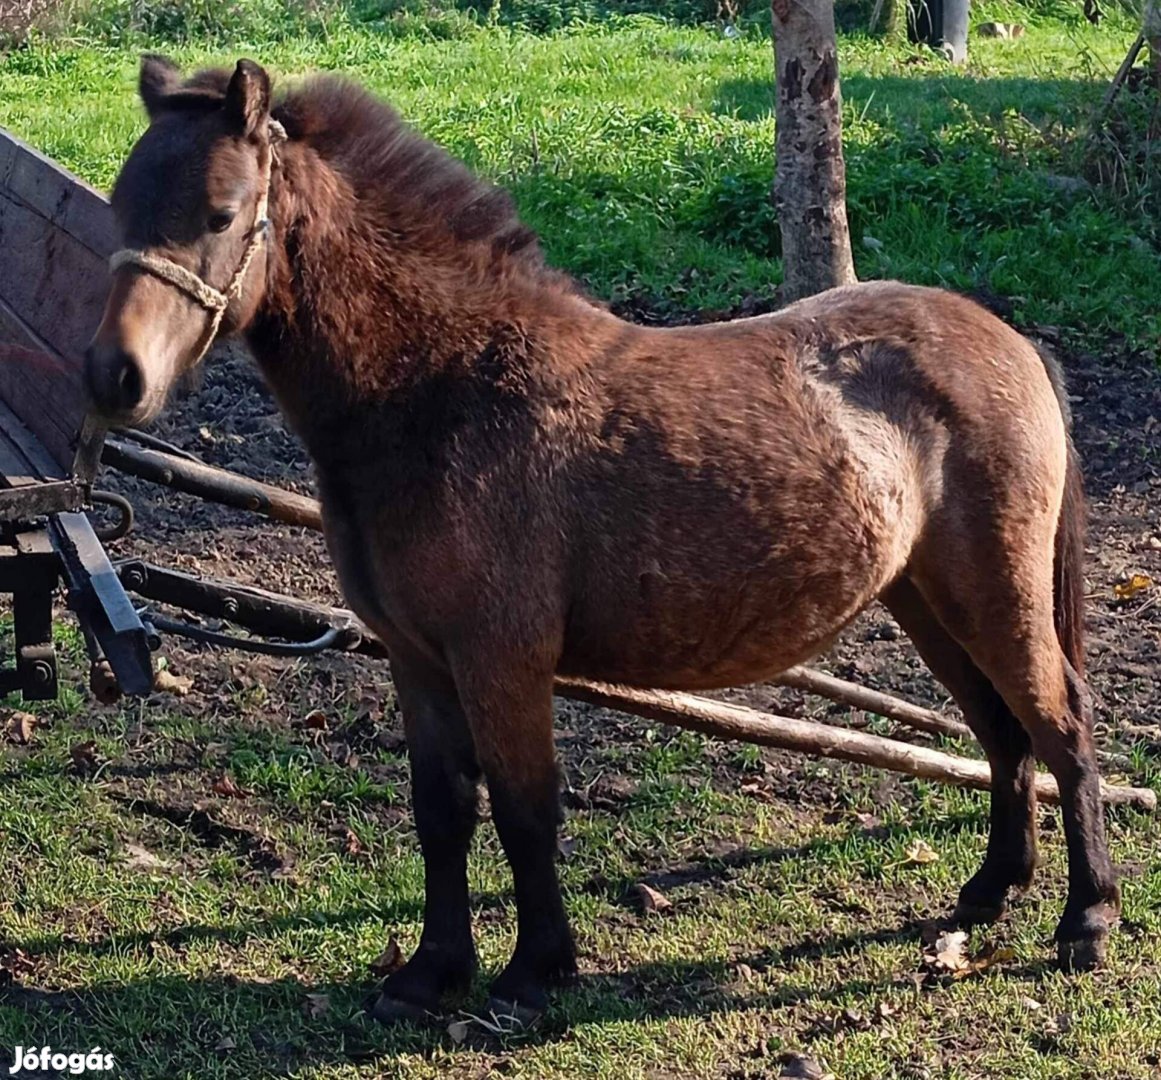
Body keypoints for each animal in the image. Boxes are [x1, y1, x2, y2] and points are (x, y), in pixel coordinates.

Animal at [85, 56, 1119, 1017]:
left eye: (221, 213)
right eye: (122, 202)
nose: (113, 376)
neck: (442, 390)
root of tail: (1009, 338)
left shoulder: (501, 658)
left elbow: (523, 806)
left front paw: (534, 971)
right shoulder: (415, 658)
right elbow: (441, 810)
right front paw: (430, 973)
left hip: (993, 594)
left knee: (1060, 722)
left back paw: (1086, 920)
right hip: (927, 600)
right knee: (1000, 732)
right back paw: (987, 894)